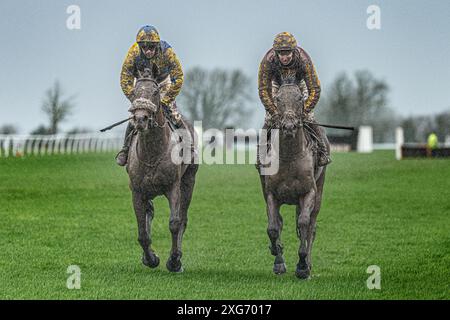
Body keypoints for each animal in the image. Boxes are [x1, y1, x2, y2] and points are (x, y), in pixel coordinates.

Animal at [125, 69, 198, 272]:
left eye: (156, 92)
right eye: (134, 92)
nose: (140, 119)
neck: (152, 153)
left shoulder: (173, 187)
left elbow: (175, 223)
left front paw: (174, 261)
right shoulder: (137, 191)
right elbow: (142, 230)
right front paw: (150, 259)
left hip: (189, 181)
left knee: (183, 217)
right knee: (149, 212)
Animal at [256, 83, 330, 280]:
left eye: (299, 98)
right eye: (278, 98)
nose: (289, 126)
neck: (289, 156)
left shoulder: (308, 192)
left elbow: (304, 224)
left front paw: (302, 266)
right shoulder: (271, 194)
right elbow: (274, 227)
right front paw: (278, 258)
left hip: (319, 191)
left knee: (311, 226)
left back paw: (308, 264)